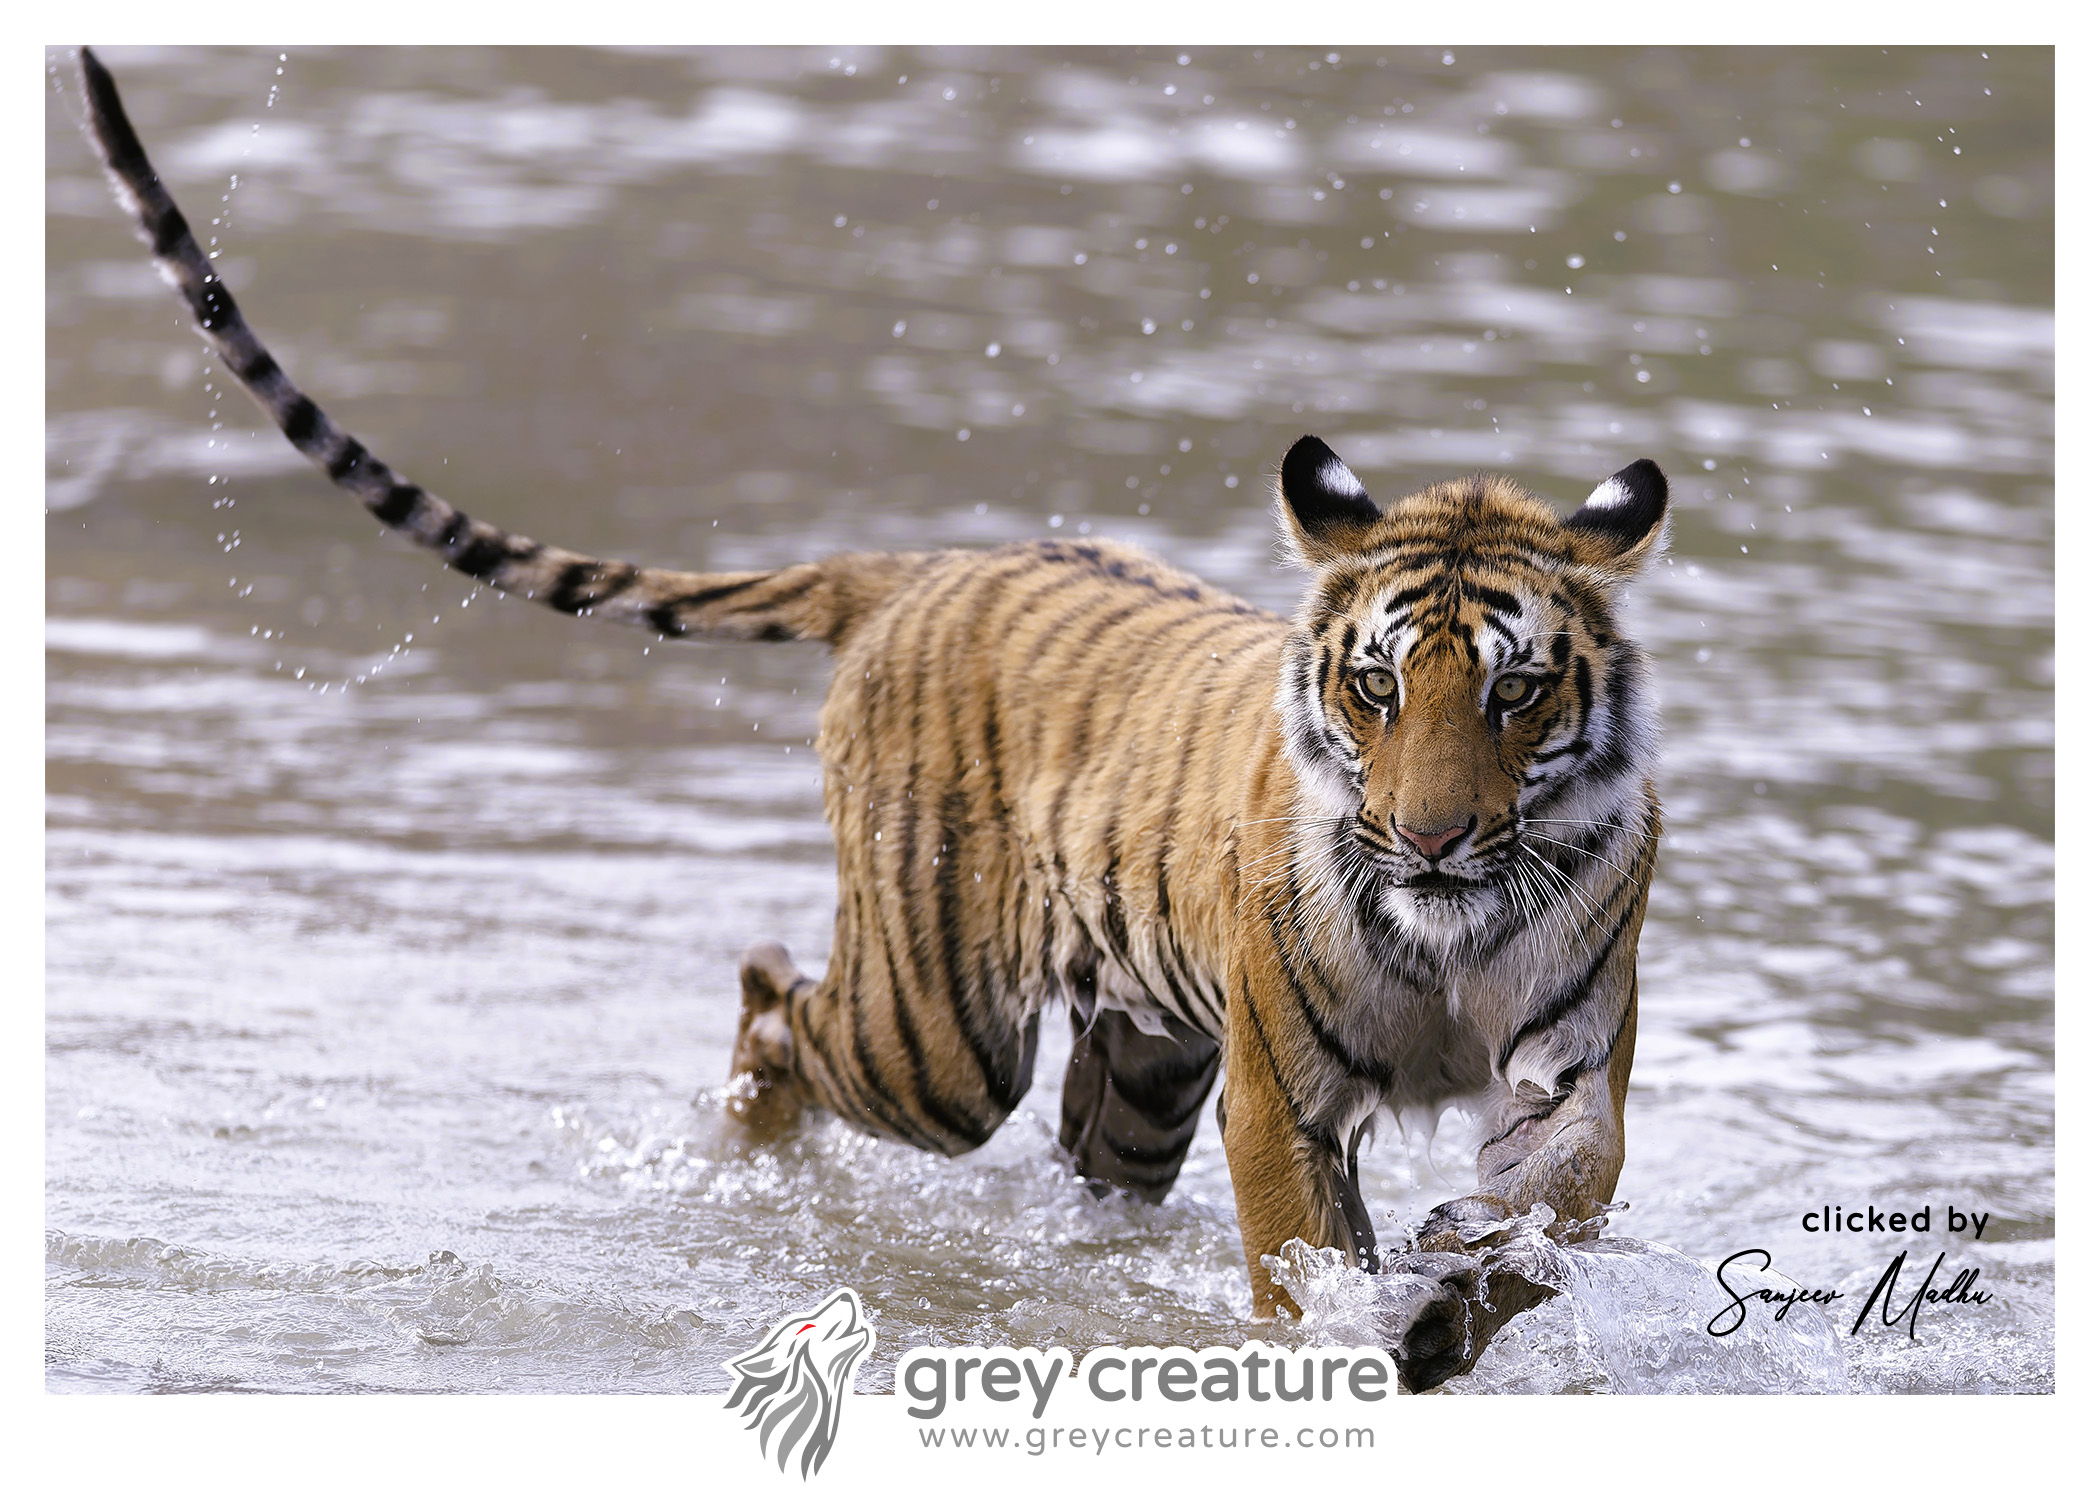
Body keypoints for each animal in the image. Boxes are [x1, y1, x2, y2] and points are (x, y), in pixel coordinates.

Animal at [77, 48, 1665, 1392]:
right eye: (1377, 685)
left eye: (1517, 690)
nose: (1432, 838)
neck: (1447, 927)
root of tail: (914, 567)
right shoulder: (1282, 1097)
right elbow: (1303, 1263)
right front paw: (1354, 1341)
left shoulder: (1568, 1082)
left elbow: (1549, 1224)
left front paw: (1453, 1290)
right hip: (940, 1037)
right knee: (773, 993)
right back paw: (748, 1162)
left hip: (1143, 1062)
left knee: (1056, 1142)